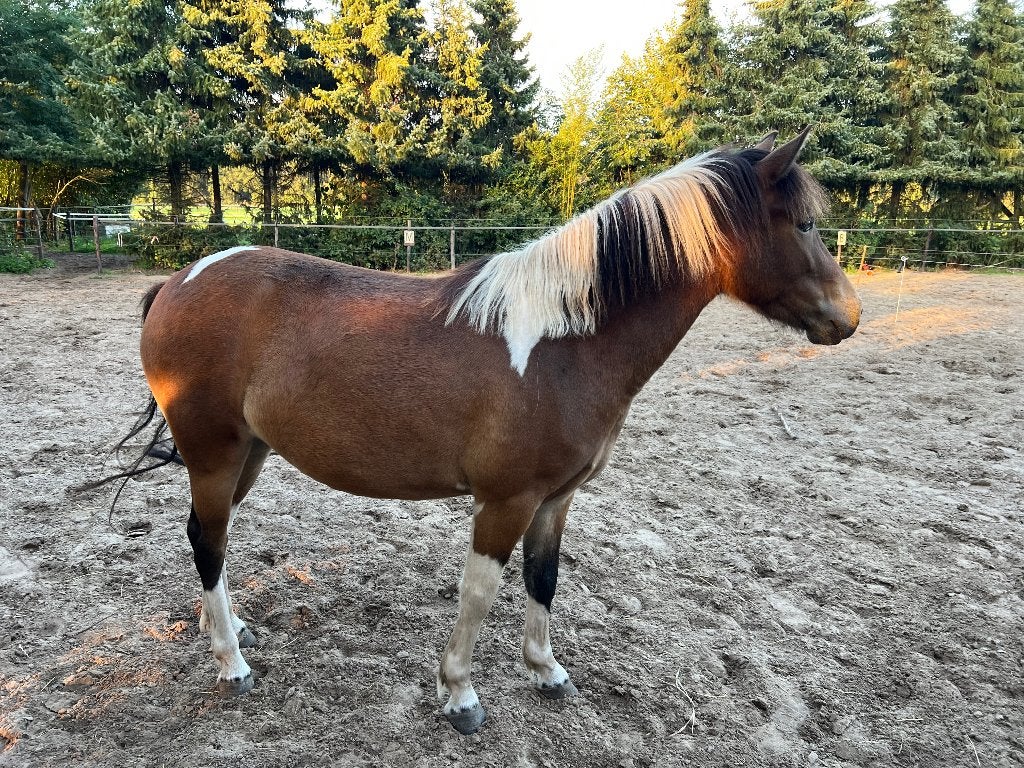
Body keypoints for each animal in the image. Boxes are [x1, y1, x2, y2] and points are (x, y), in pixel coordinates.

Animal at [99, 128, 859, 734]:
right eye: (802, 224)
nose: (848, 317)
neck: (564, 342)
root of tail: (179, 282)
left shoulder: (557, 499)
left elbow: (544, 578)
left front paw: (545, 670)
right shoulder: (505, 501)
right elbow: (480, 591)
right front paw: (460, 694)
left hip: (247, 454)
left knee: (205, 536)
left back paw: (222, 628)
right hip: (215, 452)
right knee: (208, 541)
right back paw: (231, 662)